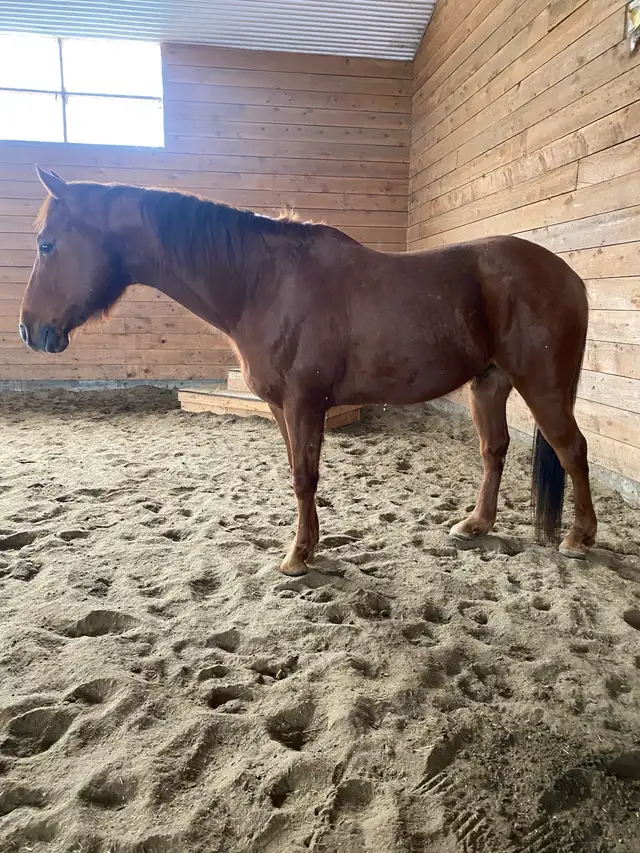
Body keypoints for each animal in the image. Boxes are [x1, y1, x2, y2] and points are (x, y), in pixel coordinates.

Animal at [19, 167, 597, 576]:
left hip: (543, 387)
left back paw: (579, 539)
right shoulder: (281, 406)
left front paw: (297, 557)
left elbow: (304, 476)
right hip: (489, 384)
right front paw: (309, 546)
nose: (30, 331)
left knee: (573, 450)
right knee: (494, 450)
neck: (263, 283)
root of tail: (569, 276)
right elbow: (298, 473)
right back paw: (476, 525)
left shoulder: (304, 402)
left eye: (47, 244)